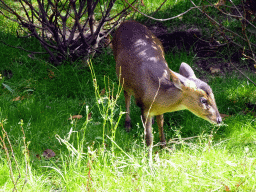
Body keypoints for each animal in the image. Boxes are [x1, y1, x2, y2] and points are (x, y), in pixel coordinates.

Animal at [112, 20, 222, 159]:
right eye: (203, 100)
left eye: (213, 96)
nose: (219, 119)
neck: (155, 91)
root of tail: (126, 21)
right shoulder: (144, 108)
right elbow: (149, 137)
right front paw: (149, 158)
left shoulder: (157, 109)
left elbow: (161, 123)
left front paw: (164, 146)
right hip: (121, 77)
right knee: (126, 96)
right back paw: (127, 124)